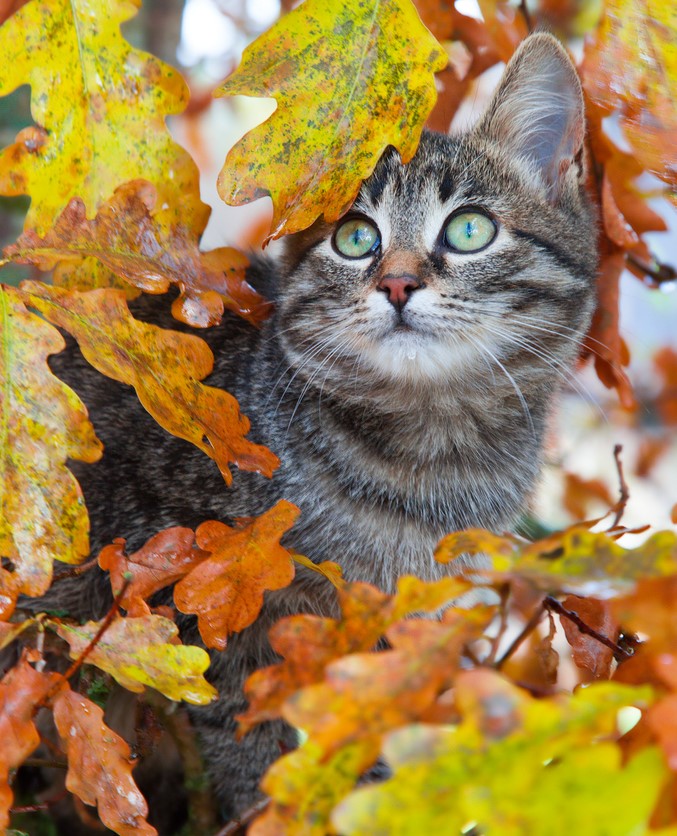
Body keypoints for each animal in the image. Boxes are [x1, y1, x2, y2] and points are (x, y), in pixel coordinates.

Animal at [27, 32, 596, 828]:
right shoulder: (195, 596)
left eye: (469, 229)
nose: (395, 282)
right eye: (356, 239)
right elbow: (250, 739)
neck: (427, 462)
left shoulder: (385, 646)